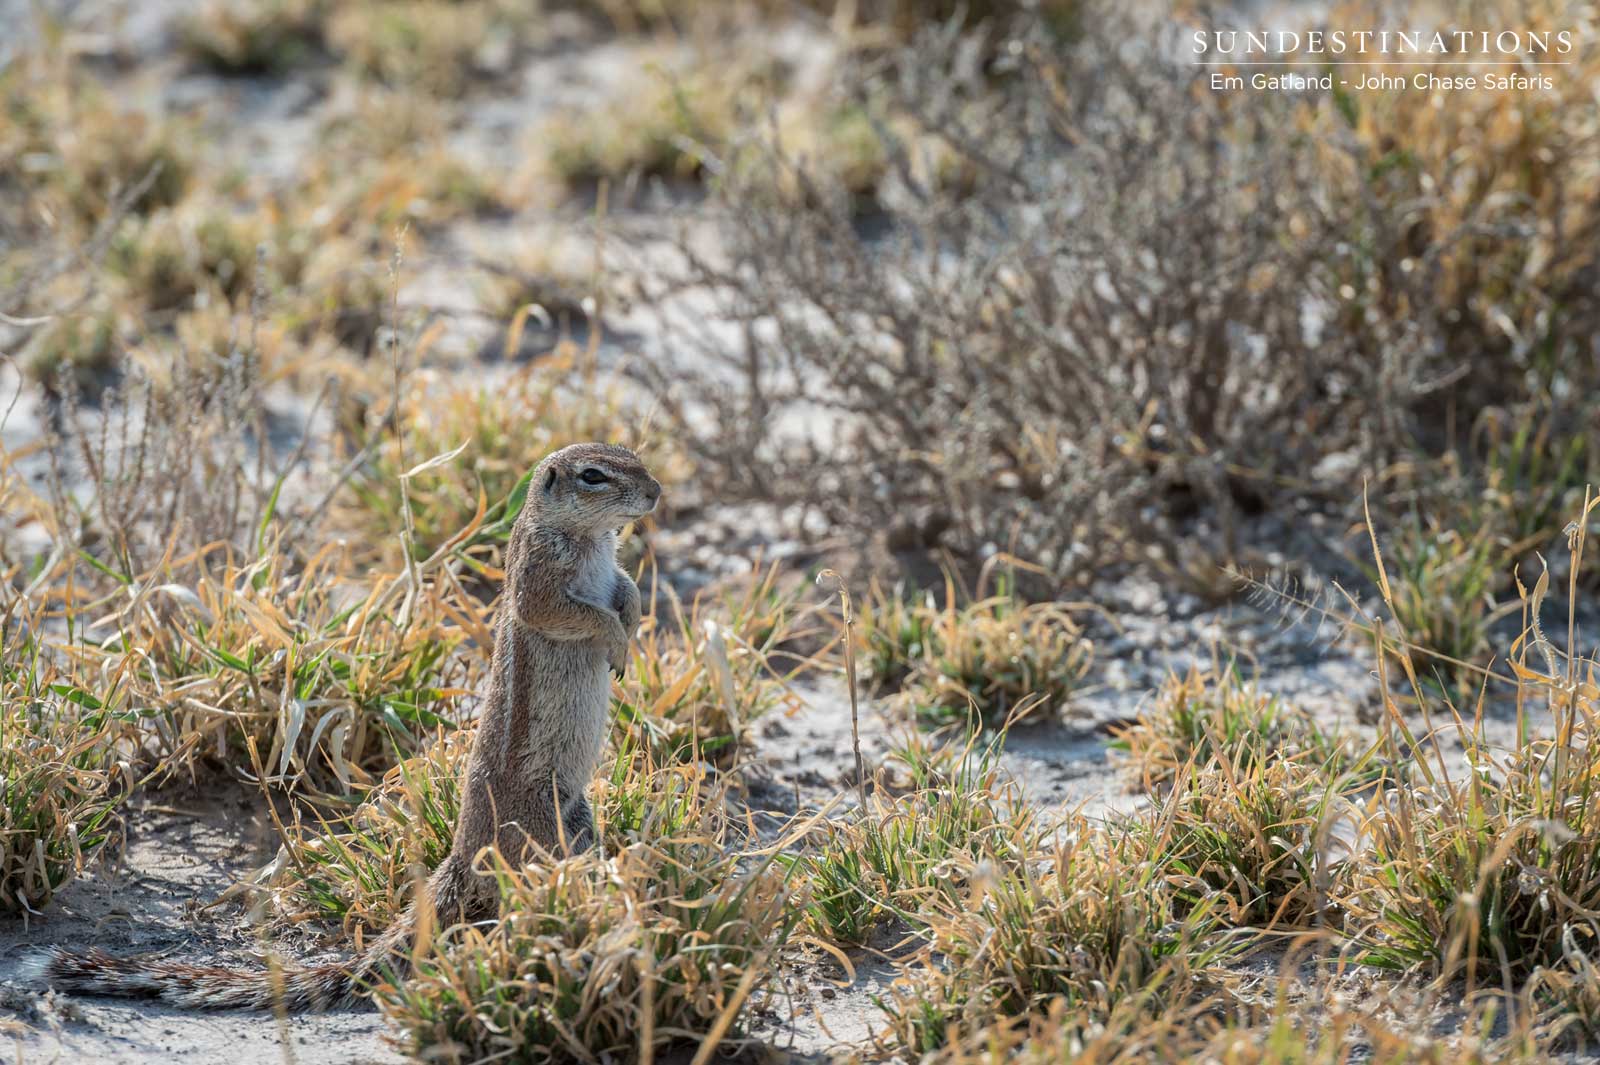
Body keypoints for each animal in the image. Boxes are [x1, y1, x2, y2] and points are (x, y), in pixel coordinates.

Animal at [29, 443, 662, 1010]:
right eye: (594, 475)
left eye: (635, 456)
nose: (656, 493)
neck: (591, 538)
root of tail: (460, 855)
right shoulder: (539, 576)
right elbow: (569, 613)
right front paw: (614, 638)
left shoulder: (608, 571)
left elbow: (625, 589)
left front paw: (629, 625)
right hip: (541, 828)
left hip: (577, 819)